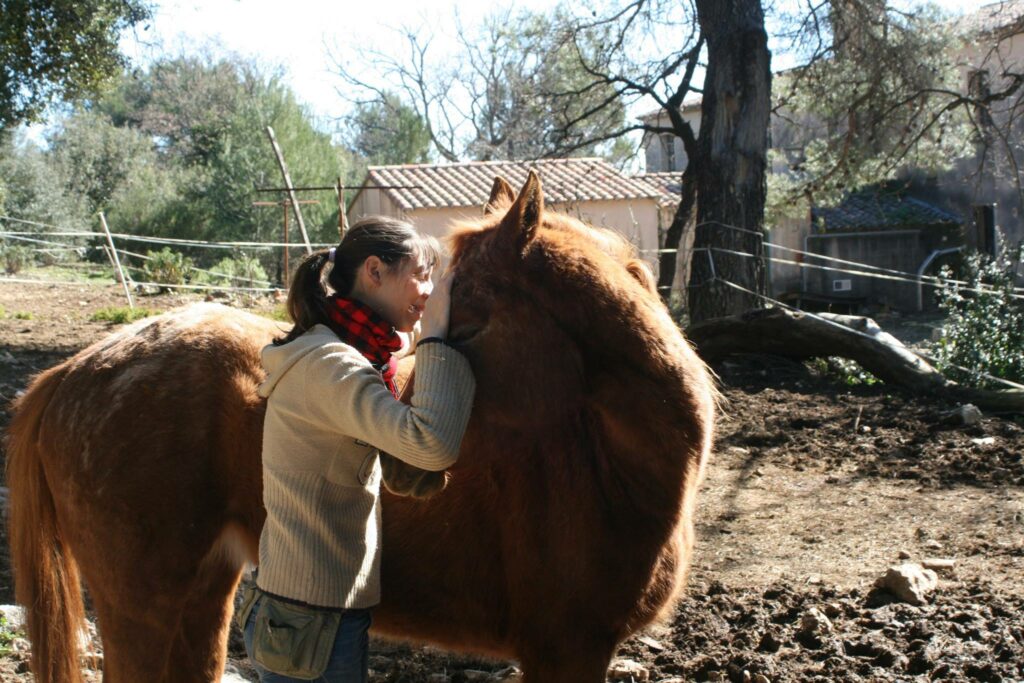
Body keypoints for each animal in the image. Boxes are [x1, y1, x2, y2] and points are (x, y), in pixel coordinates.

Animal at [8, 174, 716, 679]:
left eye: (464, 327)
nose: (408, 470)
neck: (602, 456)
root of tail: (74, 371)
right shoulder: (566, 649)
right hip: (143, 608)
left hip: (203, 597)